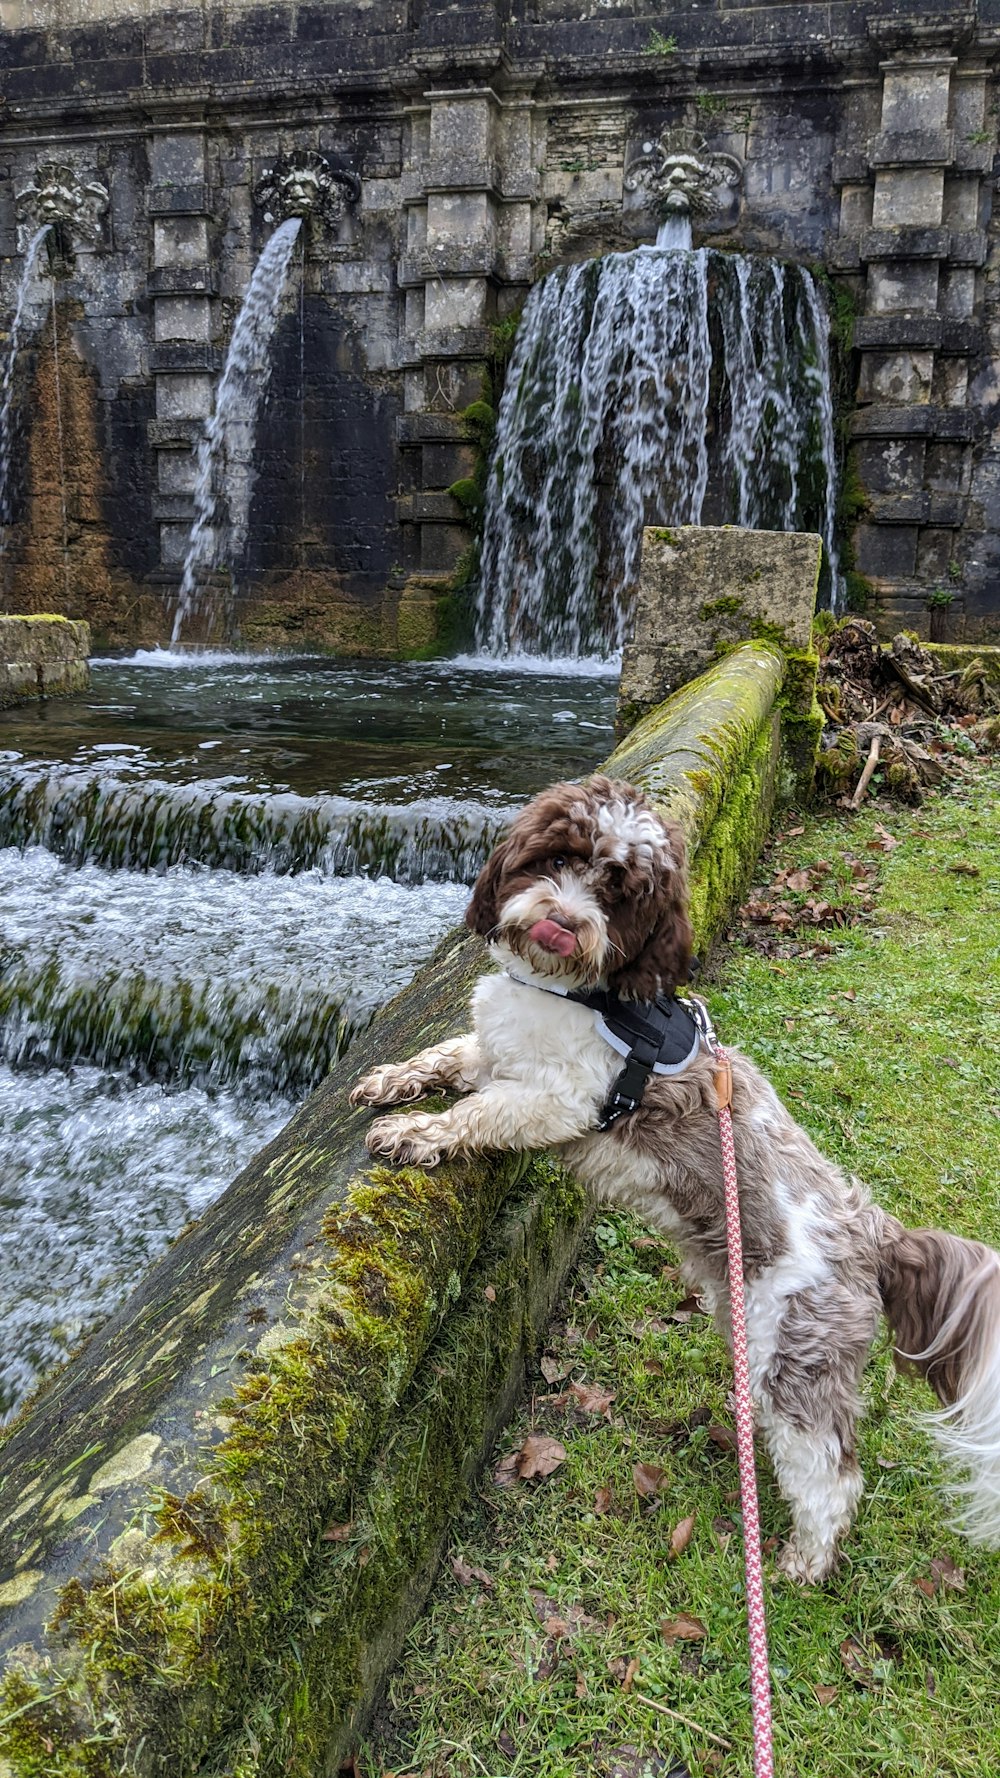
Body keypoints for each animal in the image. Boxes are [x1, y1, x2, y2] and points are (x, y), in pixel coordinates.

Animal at [348, 771, 996, 1578]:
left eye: (620, 894)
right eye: (556, 859)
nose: (566, 921)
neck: (577, 991)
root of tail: (874, 1233)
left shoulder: (558, 1098)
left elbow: (475, 1114)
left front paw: (414, 1132)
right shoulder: (496, 1053)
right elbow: (447, 1057)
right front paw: (391, 1080)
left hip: (795, 1359)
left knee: (830, 1472)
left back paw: (801, 1561)